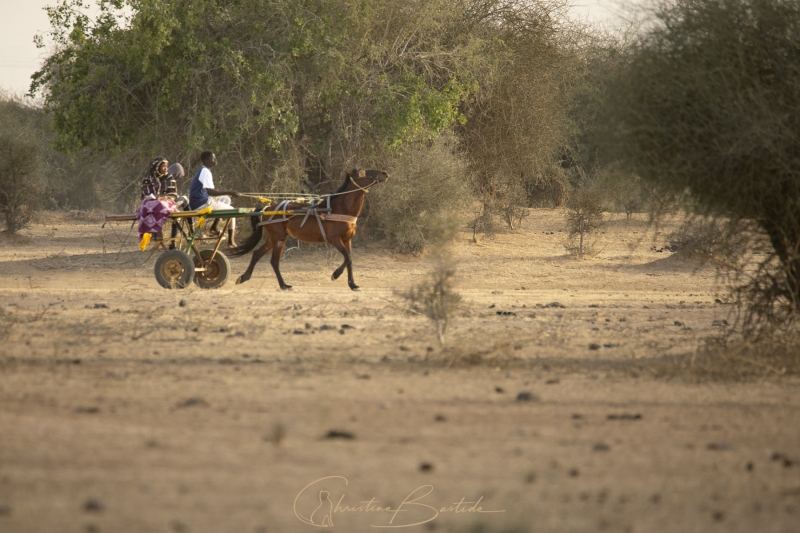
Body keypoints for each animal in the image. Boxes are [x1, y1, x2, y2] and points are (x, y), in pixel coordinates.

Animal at [228, 168, 388, 288]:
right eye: (363, 172)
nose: (384, 173)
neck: (340, 209)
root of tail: (267, 208)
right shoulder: (335, 239)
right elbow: (347, 257)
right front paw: (335, 275)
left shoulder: (347, 239)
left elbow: (350, 260)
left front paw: (353, 284)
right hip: (279, 238)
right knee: (274, 261)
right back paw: (283, 285)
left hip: (273, 238)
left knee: (257, 254)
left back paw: (244, 277)